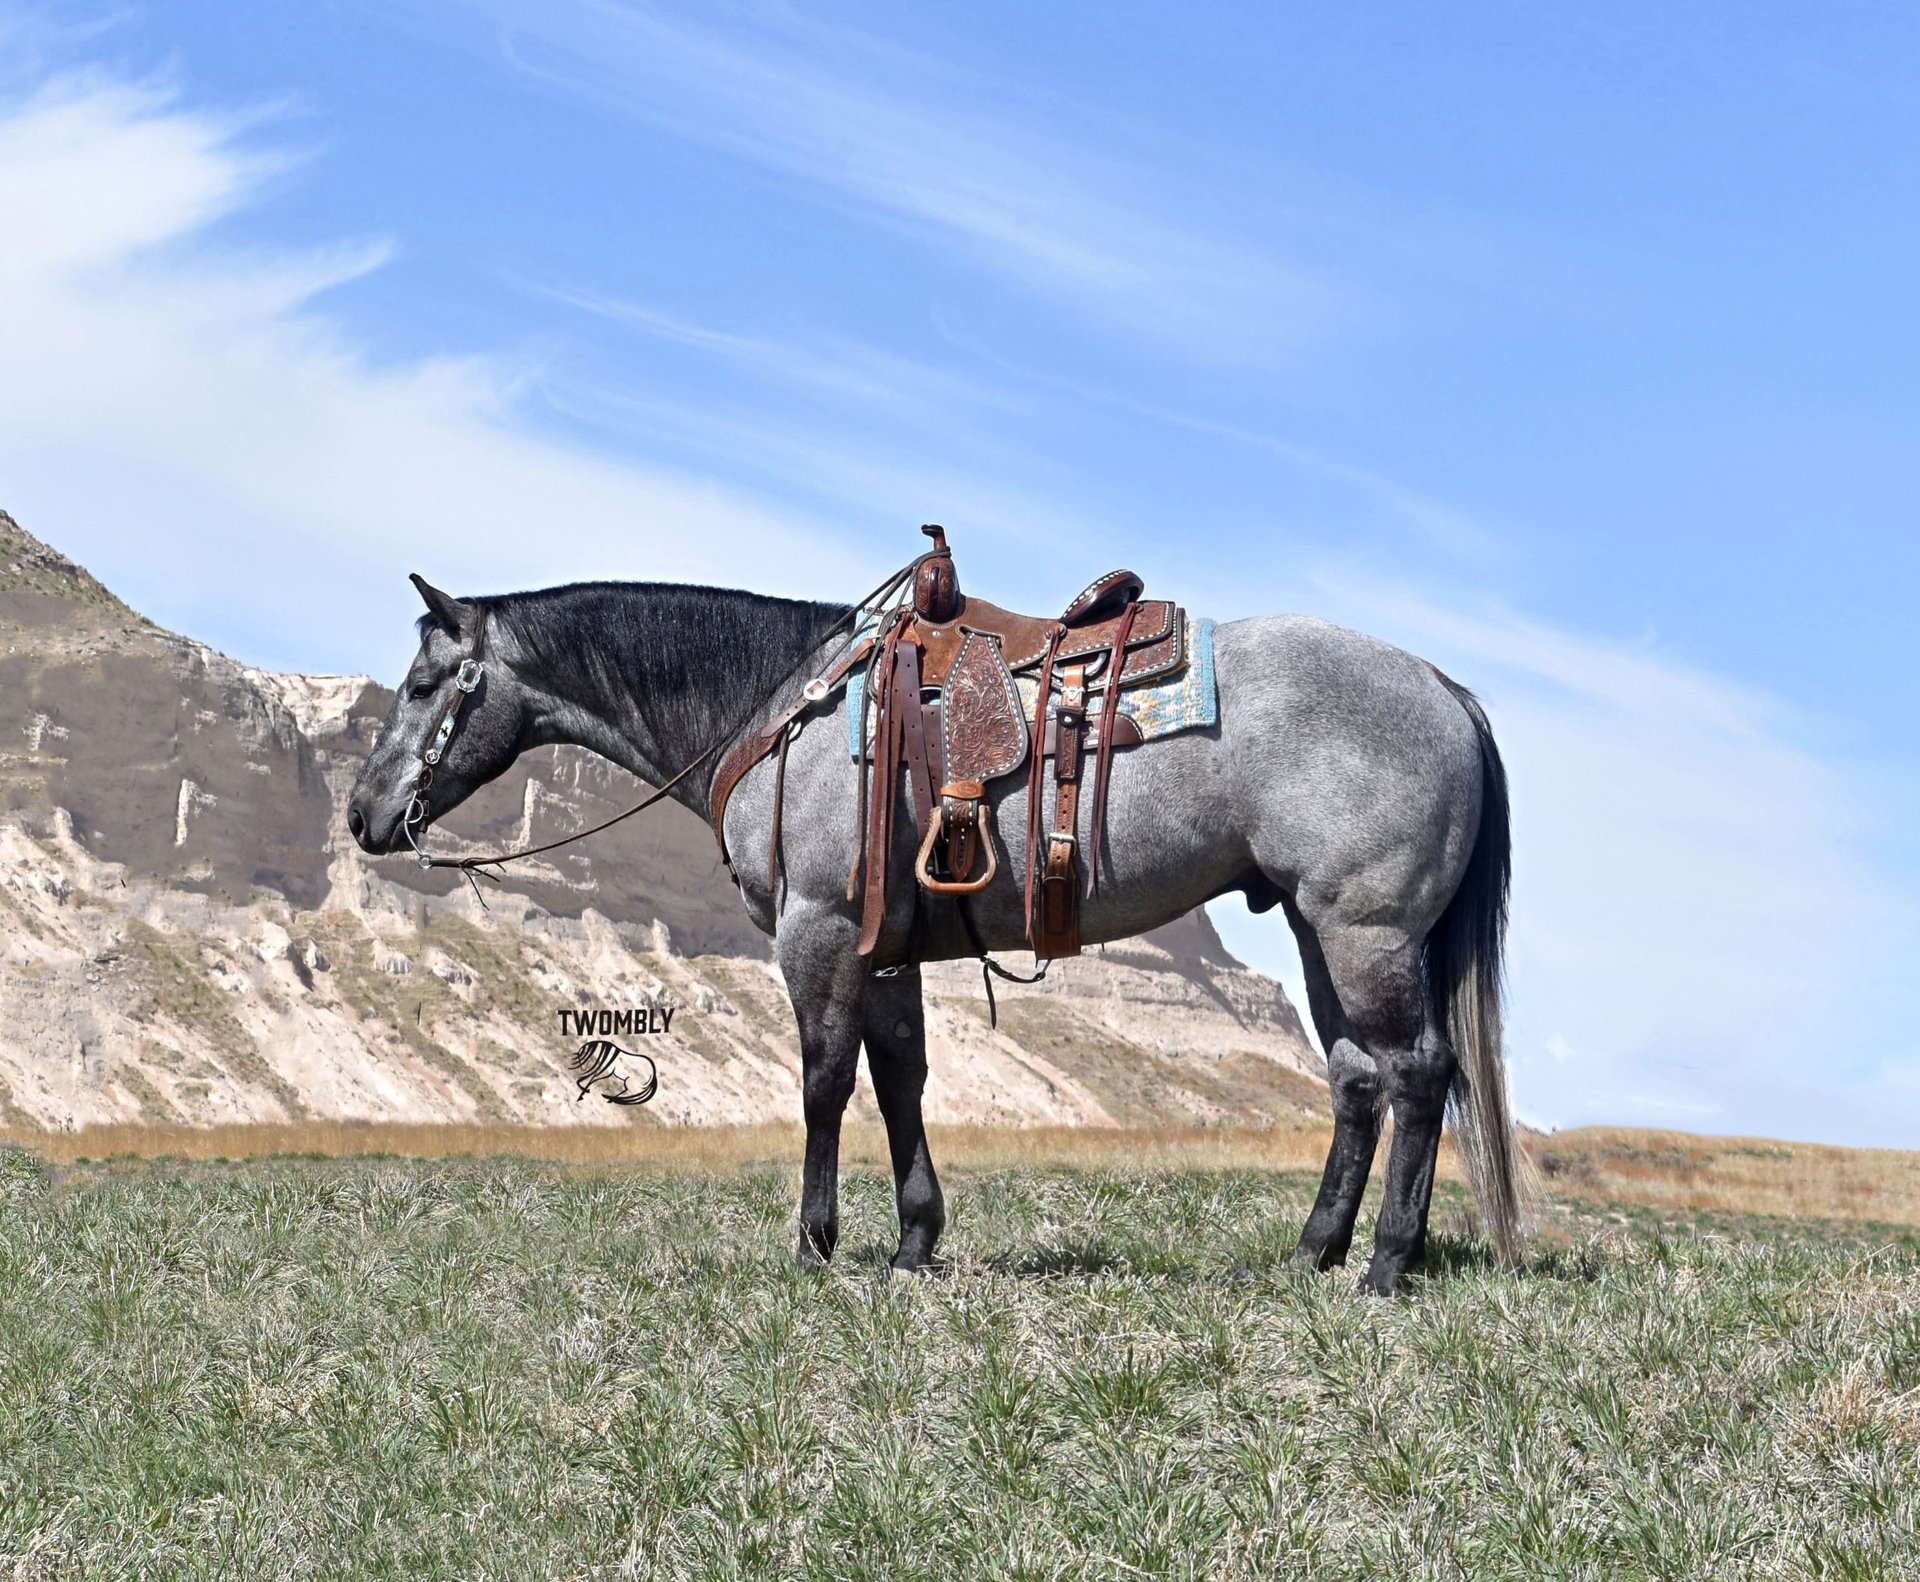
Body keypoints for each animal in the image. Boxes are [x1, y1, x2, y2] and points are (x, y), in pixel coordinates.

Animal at [345, 575, 1512, 1290]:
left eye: (423, 684)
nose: (362, 815)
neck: (787, 708)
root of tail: (1443, 688)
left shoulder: (819, 933)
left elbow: (824, 1081)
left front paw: (815, 1245)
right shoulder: (885, 948)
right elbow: (898, 1079)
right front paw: (914, 1241)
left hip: (1364, 932)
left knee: (1416, 1074)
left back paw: (1386, 1265)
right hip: (1322, 934)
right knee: (1358, 1081)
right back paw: (1314, 1251)